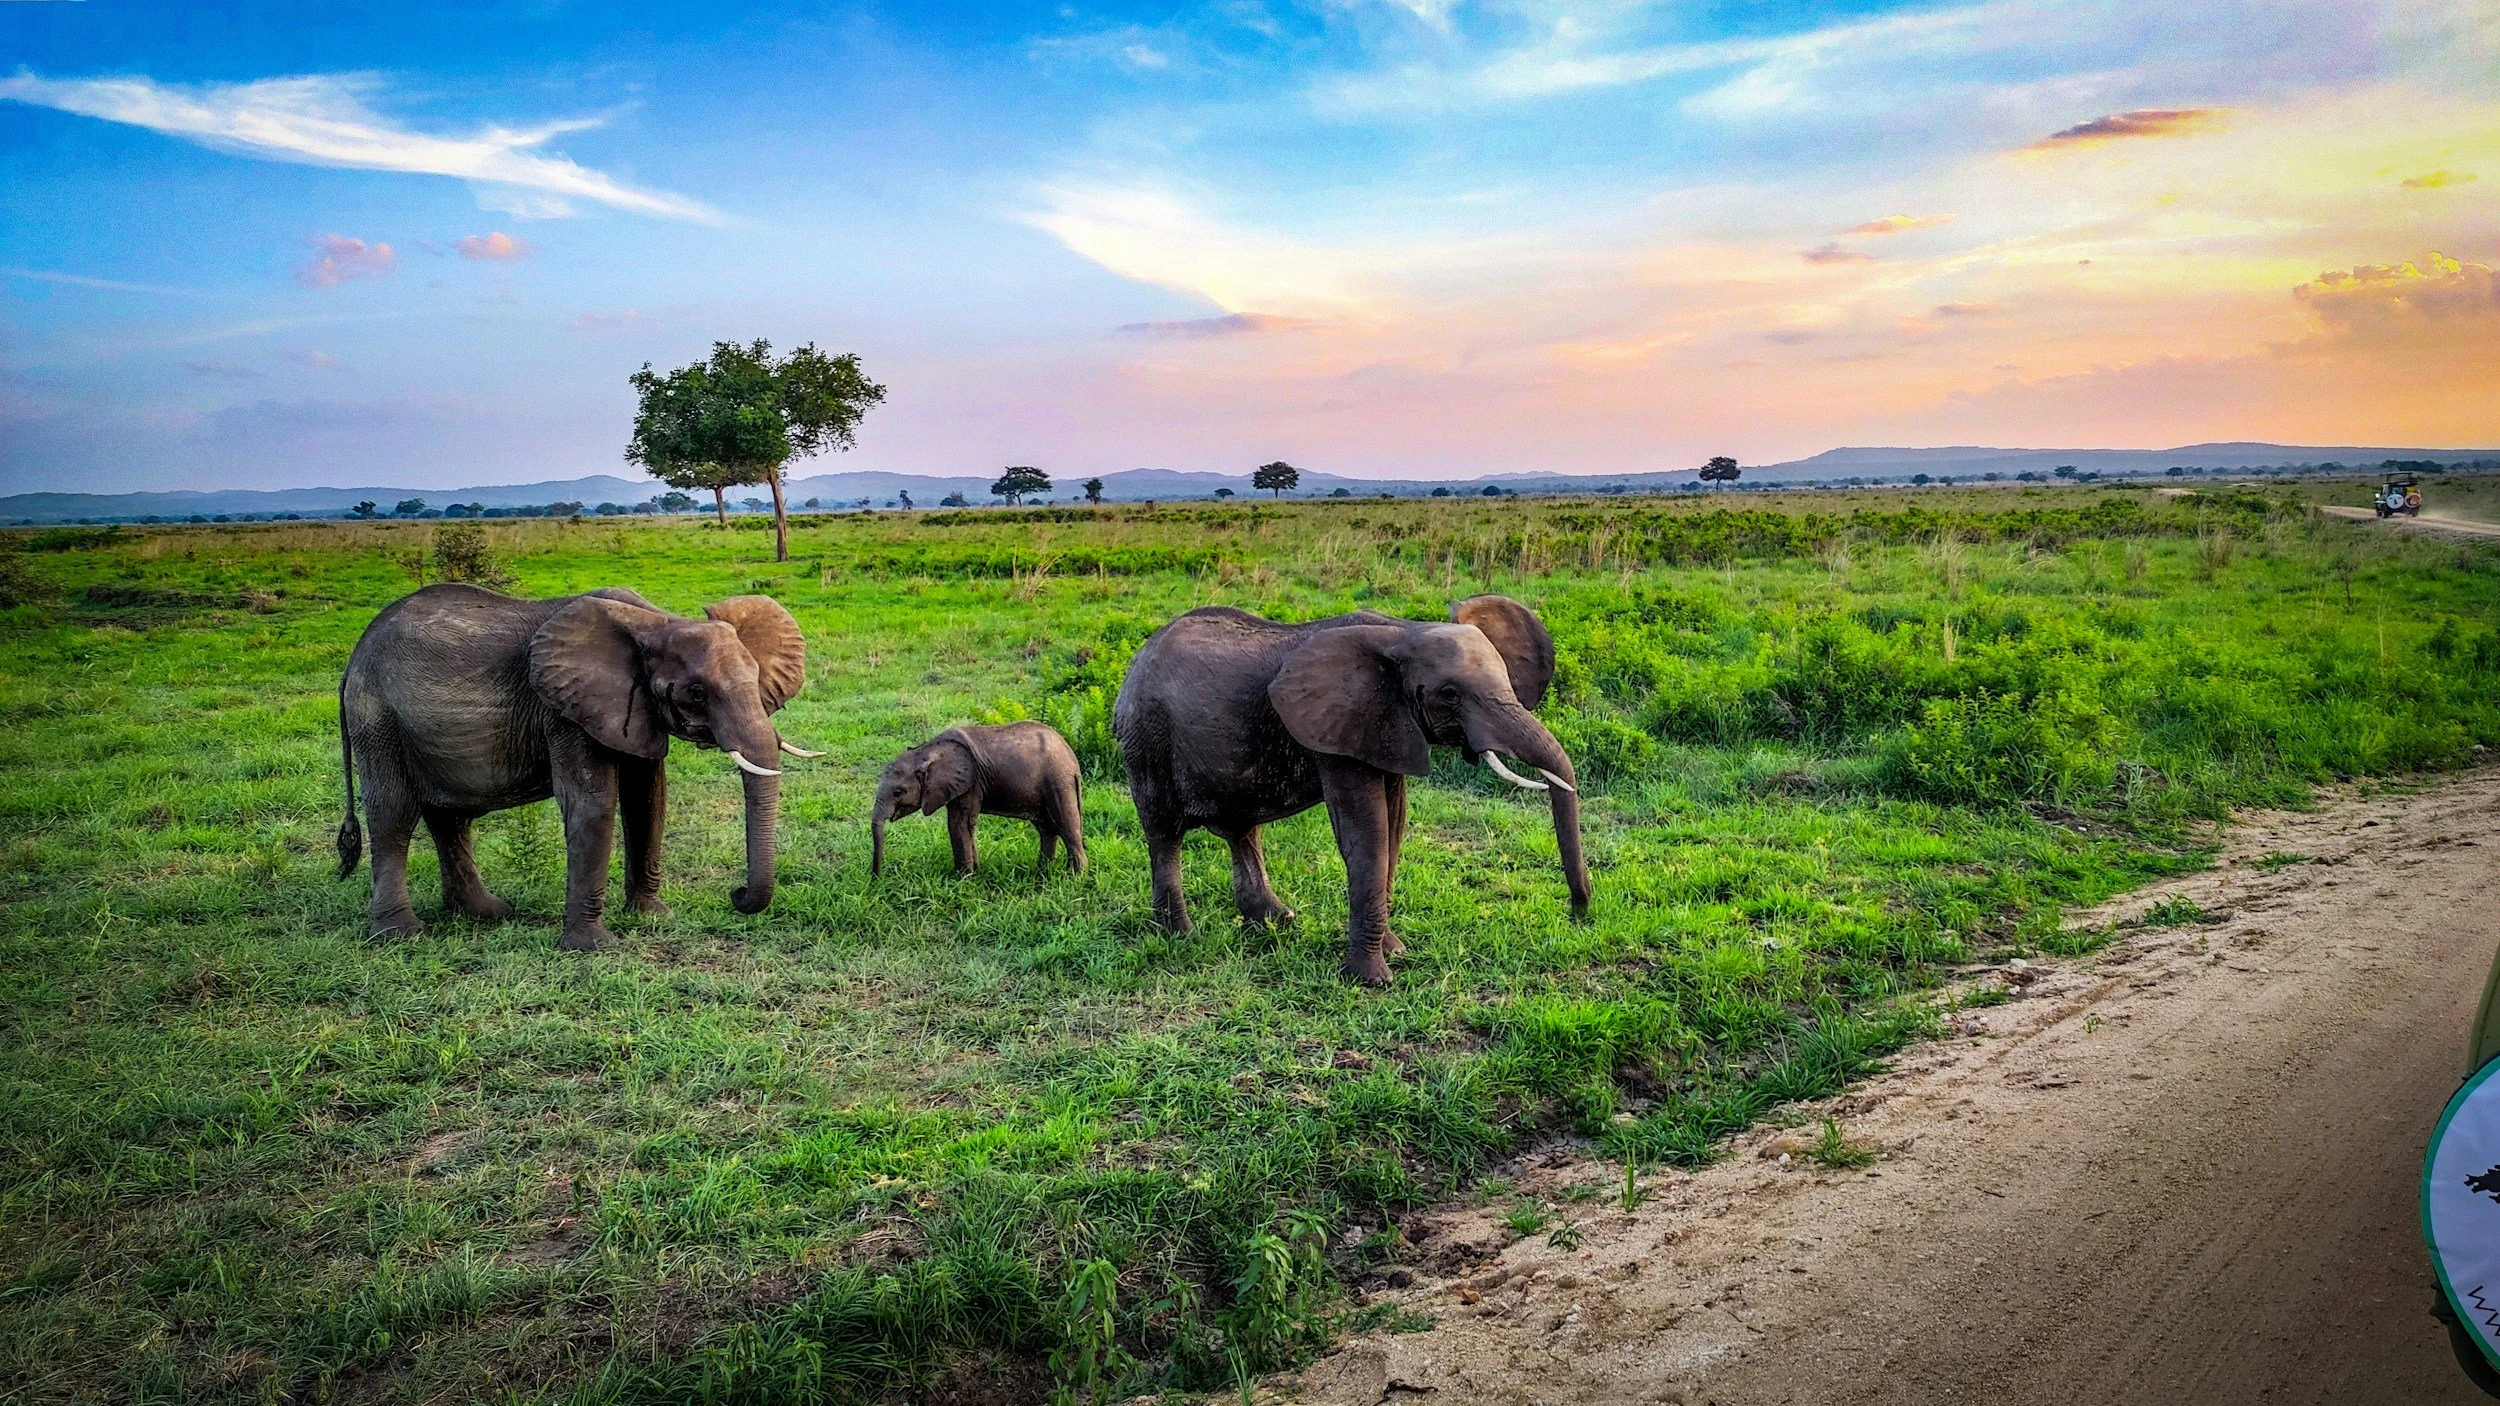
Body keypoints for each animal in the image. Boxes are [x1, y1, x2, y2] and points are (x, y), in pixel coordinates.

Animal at [335, 583, 817, 950]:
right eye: (696, 693)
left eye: (756, 678)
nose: (736, 895)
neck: (658, 623)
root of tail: (353, 657)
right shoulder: (565, 713)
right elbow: (594, 804)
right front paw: (593, 947)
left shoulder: (632, 709)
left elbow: (648, 799)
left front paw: (652, 918)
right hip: (377, 717)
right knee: (394, 814)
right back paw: (402, 935)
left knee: (448, 816)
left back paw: (485, 914)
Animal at [870, 722, 1086, 879]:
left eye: (898, 792)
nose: (876, 880)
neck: (925, 750)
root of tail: (1071, 757)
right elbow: (965, 825)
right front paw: (976, 873)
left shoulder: (971, 782)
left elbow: (958, 824)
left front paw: (962, 881)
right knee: (1047, 829)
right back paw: (1042, 874)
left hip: (1058, 781)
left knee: (1067, 826)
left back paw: (1075, 878)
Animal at [1113, 593, 1588, 986]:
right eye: (1450, 694)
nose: (1577, 912)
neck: (1404, 630)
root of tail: (1138, 657)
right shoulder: (1339, 728)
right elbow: (1367, 833)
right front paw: (1371, 979)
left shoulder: (1386, 726)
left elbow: (1394, 827)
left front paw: (1396, 951)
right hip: (1147, 738)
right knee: (1164, 832)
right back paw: (1179, 935)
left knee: (1242, 831)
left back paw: (1276, 921)